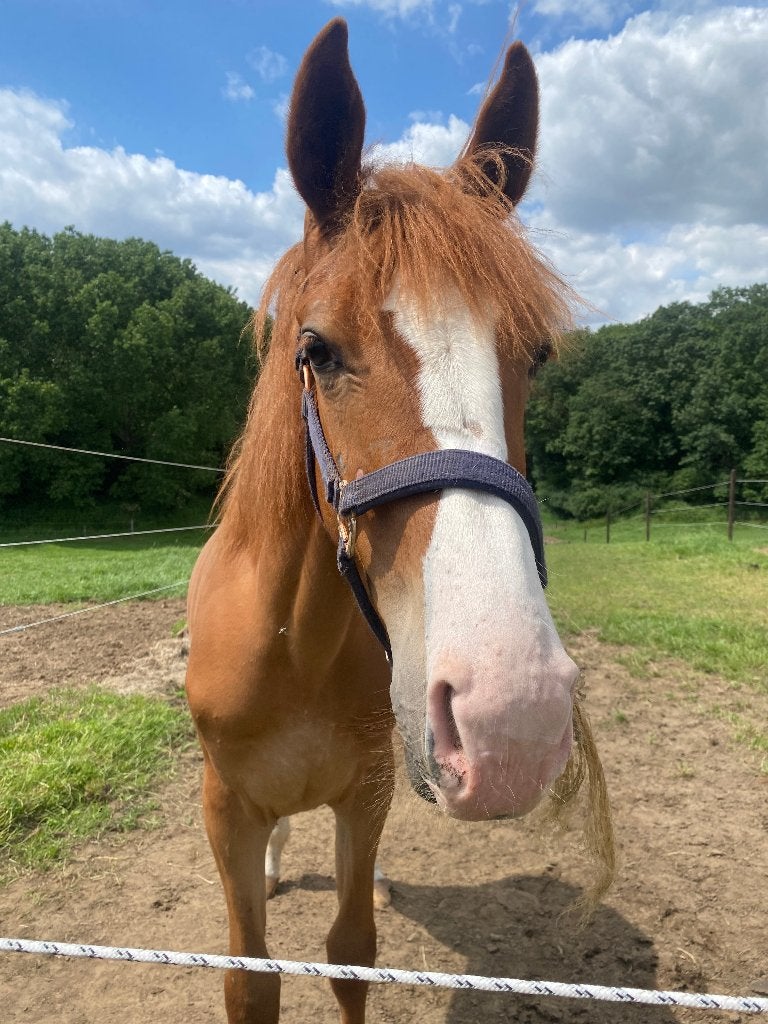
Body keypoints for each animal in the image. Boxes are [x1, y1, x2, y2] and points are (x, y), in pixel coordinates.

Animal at [186, 17, 614, 1024]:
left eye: (535, 354)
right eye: (316, 349)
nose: (512, 719)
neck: (293, 644)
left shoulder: (370, 794)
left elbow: (352, 953)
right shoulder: (226, 808)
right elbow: (250, 978)